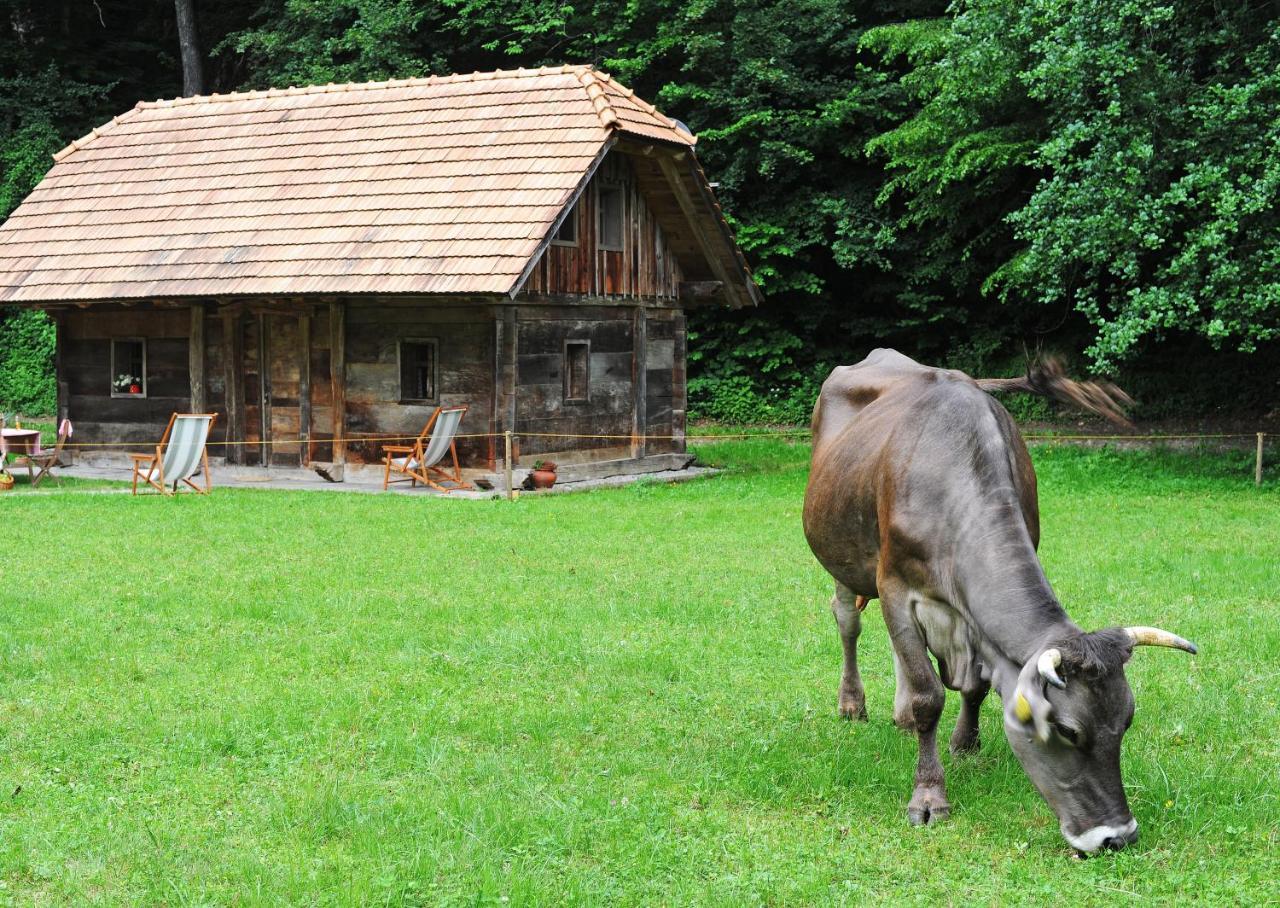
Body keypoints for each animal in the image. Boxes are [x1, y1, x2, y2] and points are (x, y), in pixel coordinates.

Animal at [803, 348, 1192, 850]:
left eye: (1126, 721)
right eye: (1067, 729)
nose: (1117, 836)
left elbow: (975, 686)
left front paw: (965, 743)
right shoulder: (896, 587)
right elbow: (929, 696)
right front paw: (928, 796)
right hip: (843, 554)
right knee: (848, 623)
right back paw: (853, 704)